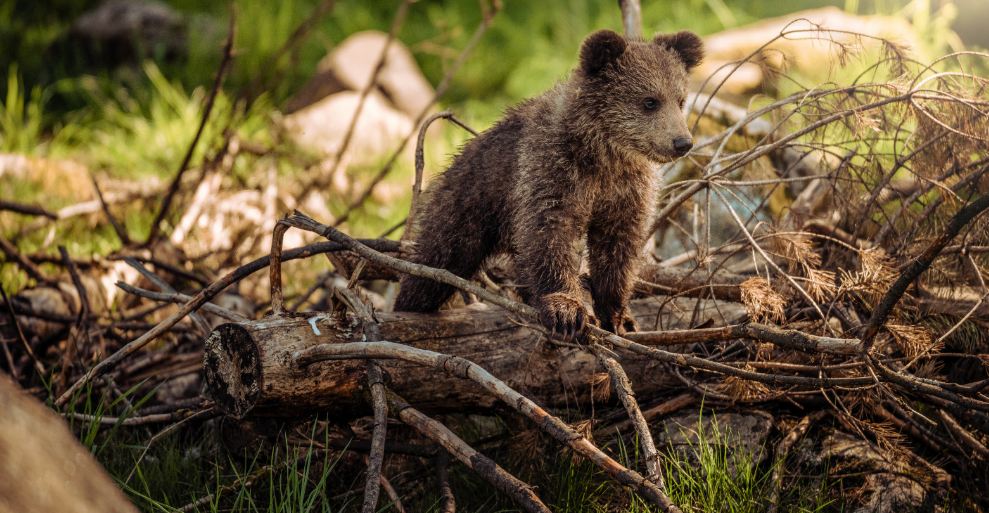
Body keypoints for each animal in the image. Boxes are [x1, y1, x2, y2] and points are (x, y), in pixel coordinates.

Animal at [393, 29, 703, 341]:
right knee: (436, 262)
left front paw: (619, 317)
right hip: (467, 205)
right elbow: (550, 234)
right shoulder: (552, 171)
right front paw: (566, 310)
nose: (682, 142)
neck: (604, 154)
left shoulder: (625, 190)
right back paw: (409, 305)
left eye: (680, 100)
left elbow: (618, 247)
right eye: (649, 101)